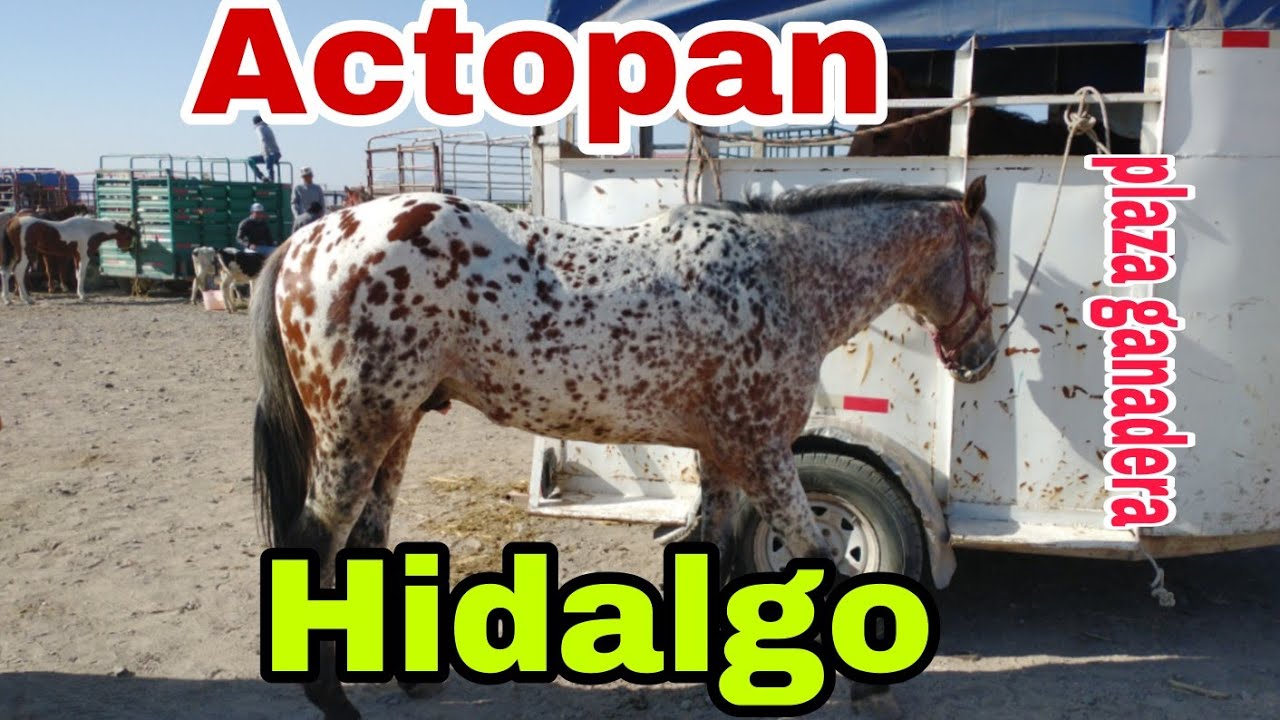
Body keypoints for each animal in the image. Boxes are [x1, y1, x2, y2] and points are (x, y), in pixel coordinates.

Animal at [2, 215, 138, 304]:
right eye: (128, 236)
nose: (126, 250)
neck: (90, 229)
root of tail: (12, 221)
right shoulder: (84, 255)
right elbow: (82, 275)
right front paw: (83, 296)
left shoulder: (76, 256)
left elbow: (77, 275)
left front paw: (79, 294)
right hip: (25, 254)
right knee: (18, 272)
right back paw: (26, 299)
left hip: (15, 255)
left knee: (6, 273)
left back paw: (8, 299)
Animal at [250, 176, 999, 718]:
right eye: (987, 262)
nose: (981, 358)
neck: (781, 281)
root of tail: (308, 239)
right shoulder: (761, 450)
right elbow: (818, 554)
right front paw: (871, 686)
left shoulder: (722, 453)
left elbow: (715, 549)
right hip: (357, 430)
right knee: (315, 542)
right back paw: (333, 700)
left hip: (397, 426)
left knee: (367, 538)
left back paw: (409, 683)